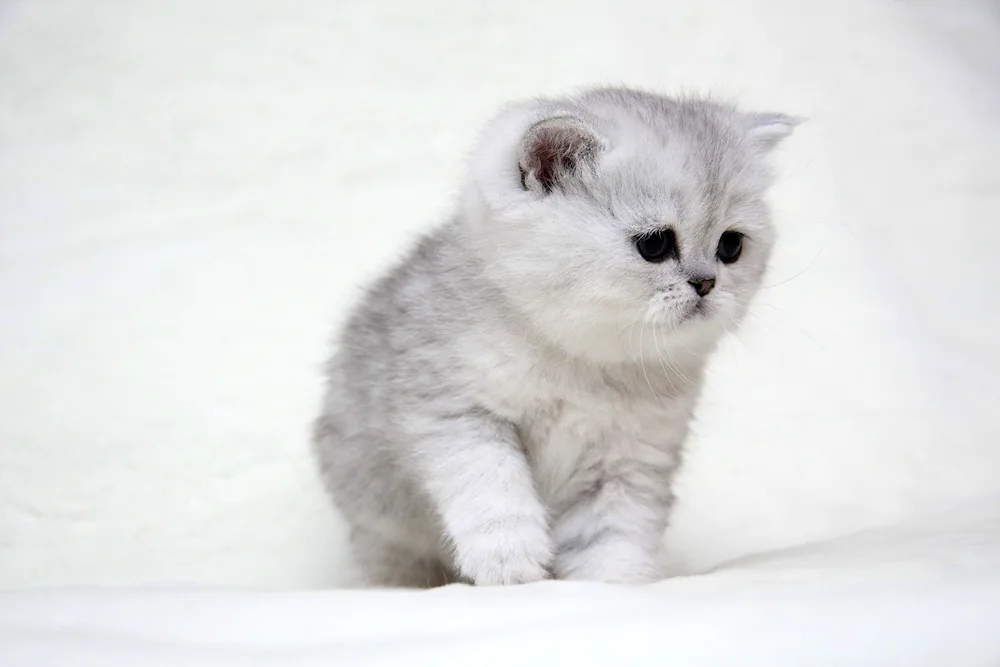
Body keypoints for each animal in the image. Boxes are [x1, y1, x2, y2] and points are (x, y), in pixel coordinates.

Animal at [312, 86, 796, 588]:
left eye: (731, 246)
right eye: (655, 244)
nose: (706, 284)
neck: (582, 363)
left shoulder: (627, 464)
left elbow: (612, 537)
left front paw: (612, 583)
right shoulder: (456, 414)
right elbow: (495, 493)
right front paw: (511, 565)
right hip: (382, 525)